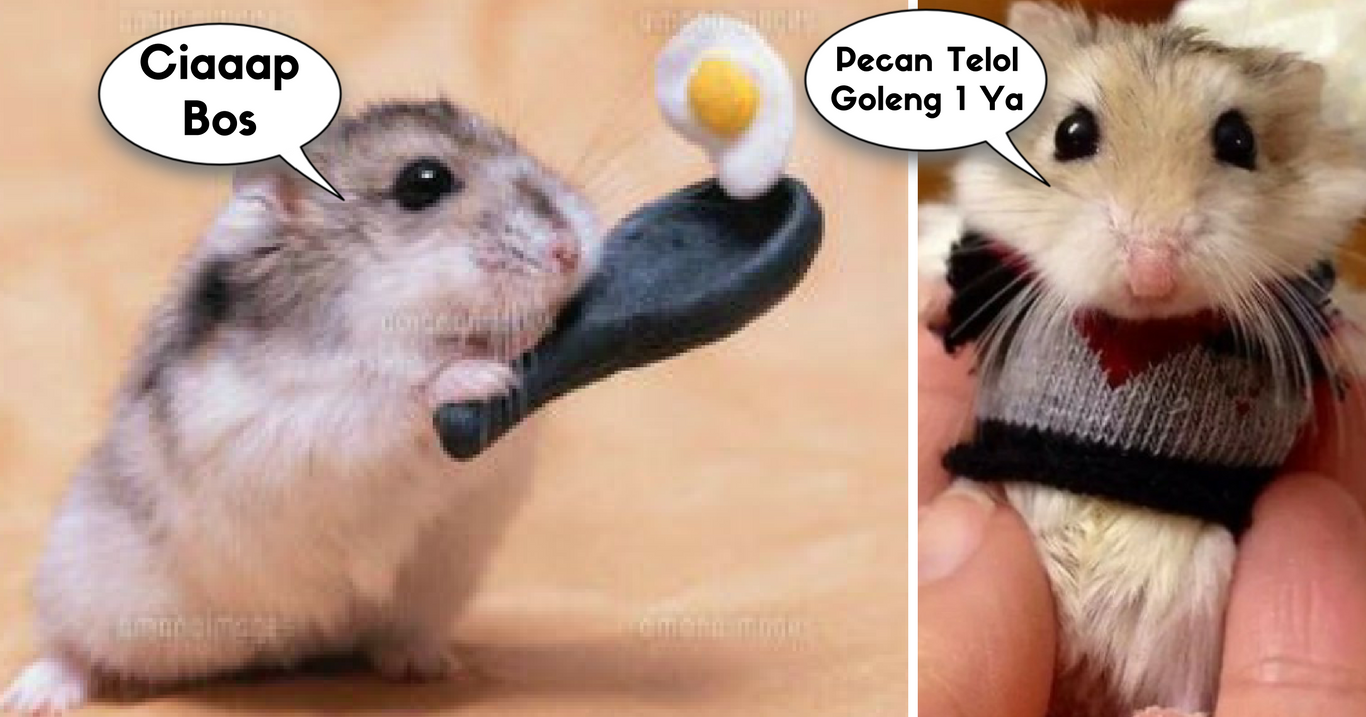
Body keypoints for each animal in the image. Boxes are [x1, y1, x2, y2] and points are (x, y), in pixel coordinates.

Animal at [1, 99, 601, 714]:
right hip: (84, 582)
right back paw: (35, 695)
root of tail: (280, 647)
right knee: (70, 643)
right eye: (423, 182)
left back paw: (429, 666)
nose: (570, 250)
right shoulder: (290, 428)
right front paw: (483, 374)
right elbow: (392, 395)